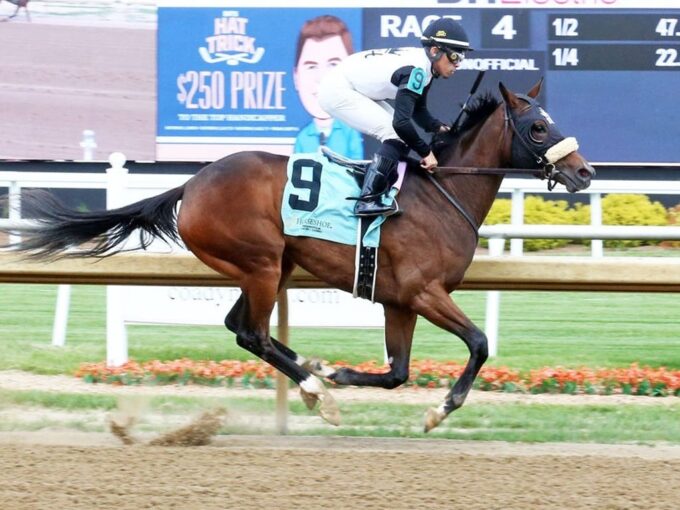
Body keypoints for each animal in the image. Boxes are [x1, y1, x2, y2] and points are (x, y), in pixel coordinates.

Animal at [1, 80, 596, 430]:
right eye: (538, 126)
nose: (584, 171)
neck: (440, 191)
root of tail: (191, 184)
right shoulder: (424, 292)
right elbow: (478, 343)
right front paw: (435, 409)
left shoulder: (399, 300)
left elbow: (398, 372)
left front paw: (341, 372)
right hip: (261, 263)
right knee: (252, 333)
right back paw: (315, 388)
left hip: (273, 266)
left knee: (241, 327)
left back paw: (312, 376)